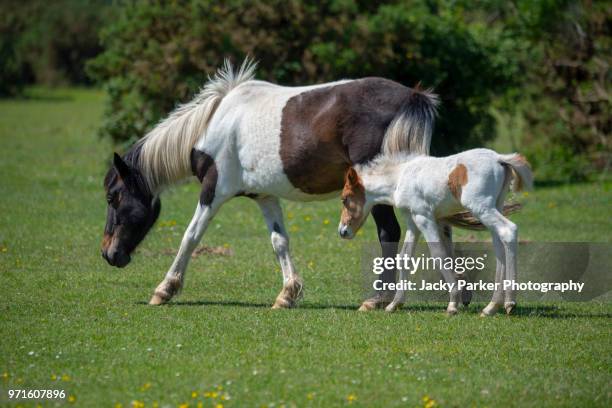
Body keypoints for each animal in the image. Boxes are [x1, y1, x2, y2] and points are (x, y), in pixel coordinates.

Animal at [101, 59, 482, 310]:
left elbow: (191, 236)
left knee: (390, 232)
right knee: (440, 226)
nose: (109, 254)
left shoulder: (213, 190)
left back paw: (377, 299)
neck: (214, 124)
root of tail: (410, 96)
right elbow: (279, 242)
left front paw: (164, 289)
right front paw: (287, 294)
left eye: (113, 197)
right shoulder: (265, 196)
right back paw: (459, 295)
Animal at [338, 147, 532, 316]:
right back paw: (491, 307)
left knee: (508, 230)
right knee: (499, 246)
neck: (400, 178)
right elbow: (405, 257)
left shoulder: (424, 218)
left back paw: (509, 303)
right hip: (494, 207)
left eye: (345, 199)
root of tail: (499, 158)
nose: (342, 231)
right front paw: (394, 304)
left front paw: (453, 304)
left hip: (481, 208)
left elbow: (439, 254)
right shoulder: (412, 222)